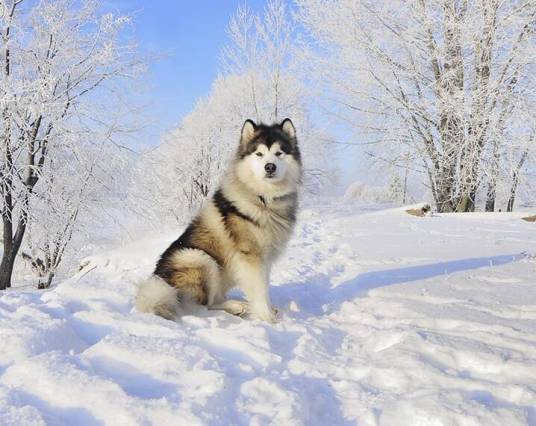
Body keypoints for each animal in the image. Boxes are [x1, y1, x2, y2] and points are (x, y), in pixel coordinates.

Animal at [135, 118, 302, 322]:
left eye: (279, 153)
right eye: (259, 154)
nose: (270, 166)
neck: (264, 199)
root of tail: (159, 283)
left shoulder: (266, 259)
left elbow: (262, 287)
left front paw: (267, 311)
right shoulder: (251, 258)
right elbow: (260, 291)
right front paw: (267, 318)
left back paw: (241, 305)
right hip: (199, 258)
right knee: (204, 305)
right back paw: (235, 306)